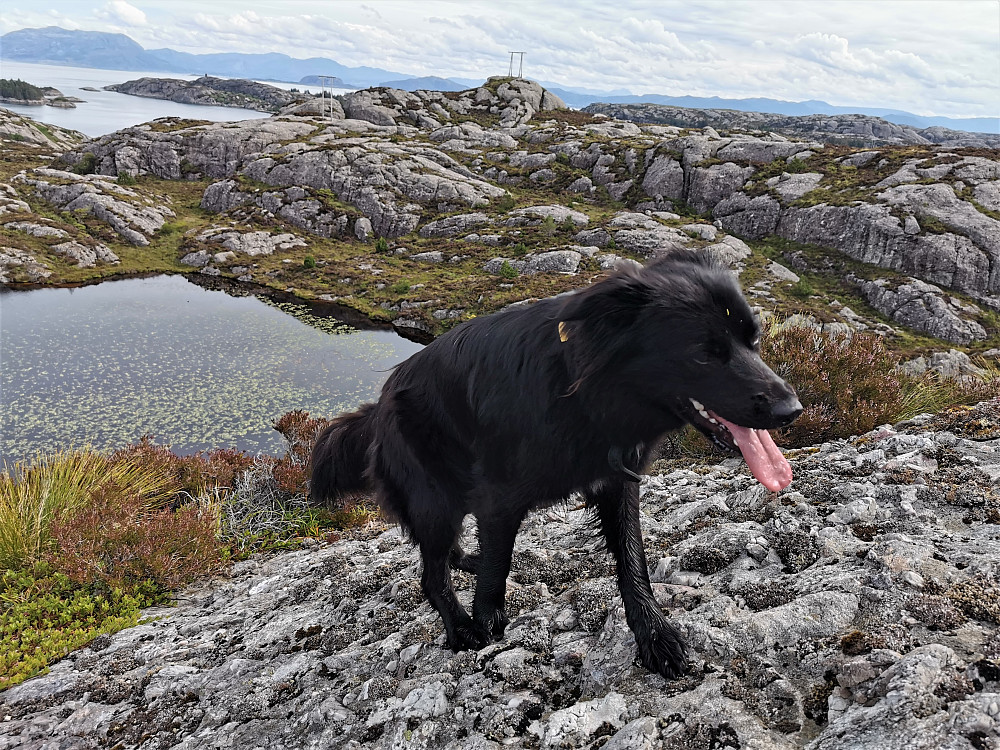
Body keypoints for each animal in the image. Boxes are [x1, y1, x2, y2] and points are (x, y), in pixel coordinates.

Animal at [312, 254, 804, 680]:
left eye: (754, 340)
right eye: (704, 352)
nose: (791, 410)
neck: (585, 393)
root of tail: (377, 406)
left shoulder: (618, 480)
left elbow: (632, 559)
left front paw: (653, 633)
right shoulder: (499, 497)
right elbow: (498, 568)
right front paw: (486, 623)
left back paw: (465, 560)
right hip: (434, 498)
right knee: (431, 576)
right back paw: (460, 627)